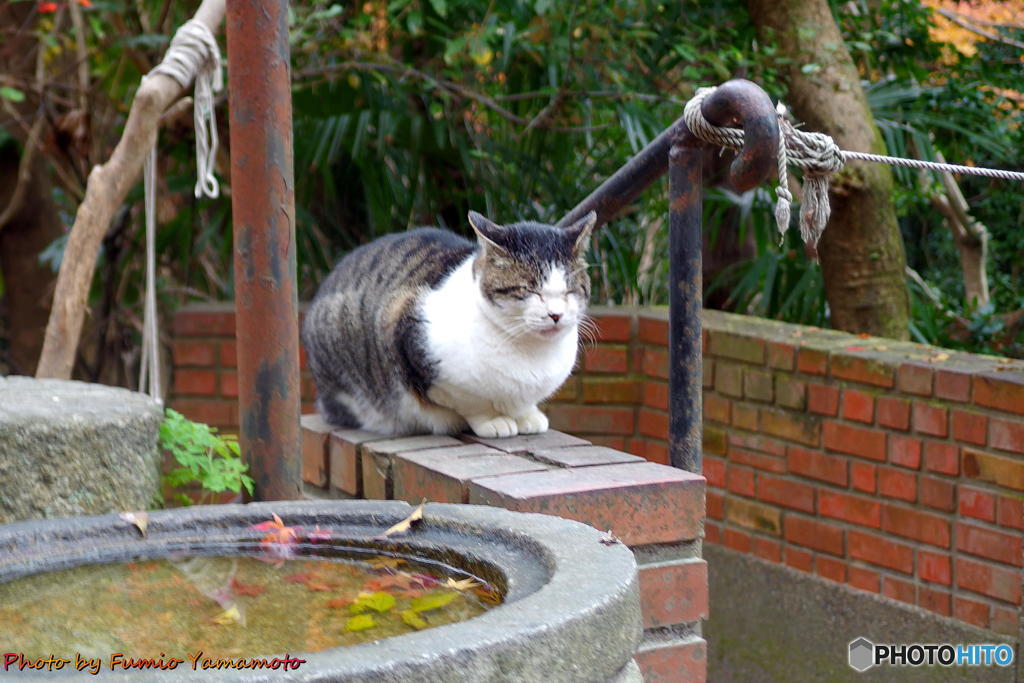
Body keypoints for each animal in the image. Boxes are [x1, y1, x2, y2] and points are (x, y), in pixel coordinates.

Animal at [299, 210, 598, 440]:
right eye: (529, 289)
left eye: (570, 291)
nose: (556, 314)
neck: (530, 352)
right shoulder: (407, 335)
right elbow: (470, 403)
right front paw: (494, 420)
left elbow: (523, 404)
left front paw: (527, 416)